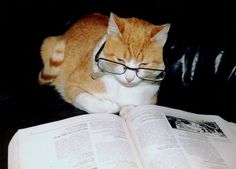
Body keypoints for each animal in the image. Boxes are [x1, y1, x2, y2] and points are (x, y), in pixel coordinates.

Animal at [38, 12, 170, 114]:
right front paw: (113, 106)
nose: (129, 78)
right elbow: (90, 102)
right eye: (120, 60)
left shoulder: (151, 99)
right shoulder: (71, 86)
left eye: (143, 64)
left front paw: (127, 109)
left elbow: (137, 106)